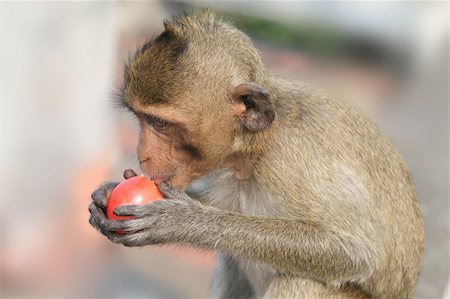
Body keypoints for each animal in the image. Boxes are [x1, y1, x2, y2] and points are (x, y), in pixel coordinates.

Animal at [89, 11, 426, 299]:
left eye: (160, 123)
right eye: (139, 117)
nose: (141, 154)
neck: (254, 146)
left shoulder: (290, 161)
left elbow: (355, 251)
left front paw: (184, 221)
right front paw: (106, 194)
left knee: (302, 280)